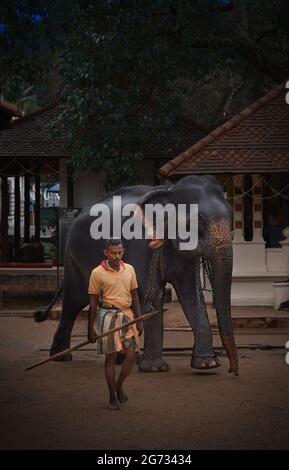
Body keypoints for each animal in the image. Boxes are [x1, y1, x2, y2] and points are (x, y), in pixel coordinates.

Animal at [35, 174, 238, 376]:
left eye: (232, 219)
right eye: (193, 223)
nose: (233, 370)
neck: (169, 190)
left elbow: (191, 294)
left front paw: (207, 364)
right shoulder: (140, 244)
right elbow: (151, 294)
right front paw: (155, 368)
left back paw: (118, 359)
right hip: (74, 259)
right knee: (74, 301)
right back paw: (61, 357)